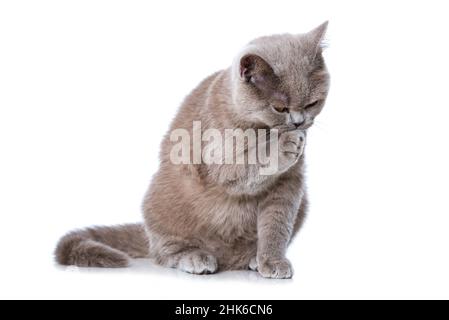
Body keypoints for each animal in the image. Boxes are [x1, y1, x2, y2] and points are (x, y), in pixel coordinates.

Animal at [55, 21, 328, 278]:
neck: (262, 129)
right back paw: (195, 257)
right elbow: (247, 165)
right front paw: (285, 144)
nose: (298, 123)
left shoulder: (290, 184)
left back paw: (251, 259)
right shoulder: (219, 158)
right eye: (280, 108)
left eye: (312, 103)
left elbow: (277, 226)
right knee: (164, 252)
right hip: (162, 198)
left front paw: (272, 261)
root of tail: (227, 258)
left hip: (304, 203)